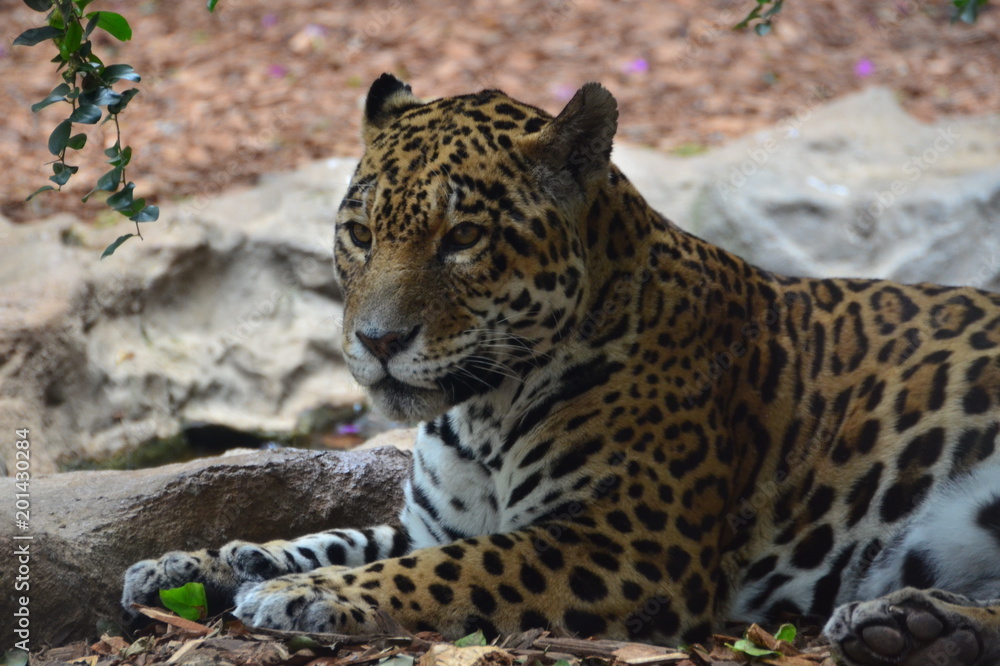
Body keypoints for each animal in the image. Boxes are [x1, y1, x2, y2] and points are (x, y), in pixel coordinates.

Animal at [123, 74, 1000, 666]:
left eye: (462, 238)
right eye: (361, 233)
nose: (377, 340)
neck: (479, 411)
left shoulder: (625, 544)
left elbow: (444, 570)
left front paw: (300, 596)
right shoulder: (432, 522)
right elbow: (332, 536)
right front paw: (192, 564)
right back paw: (910, 626)